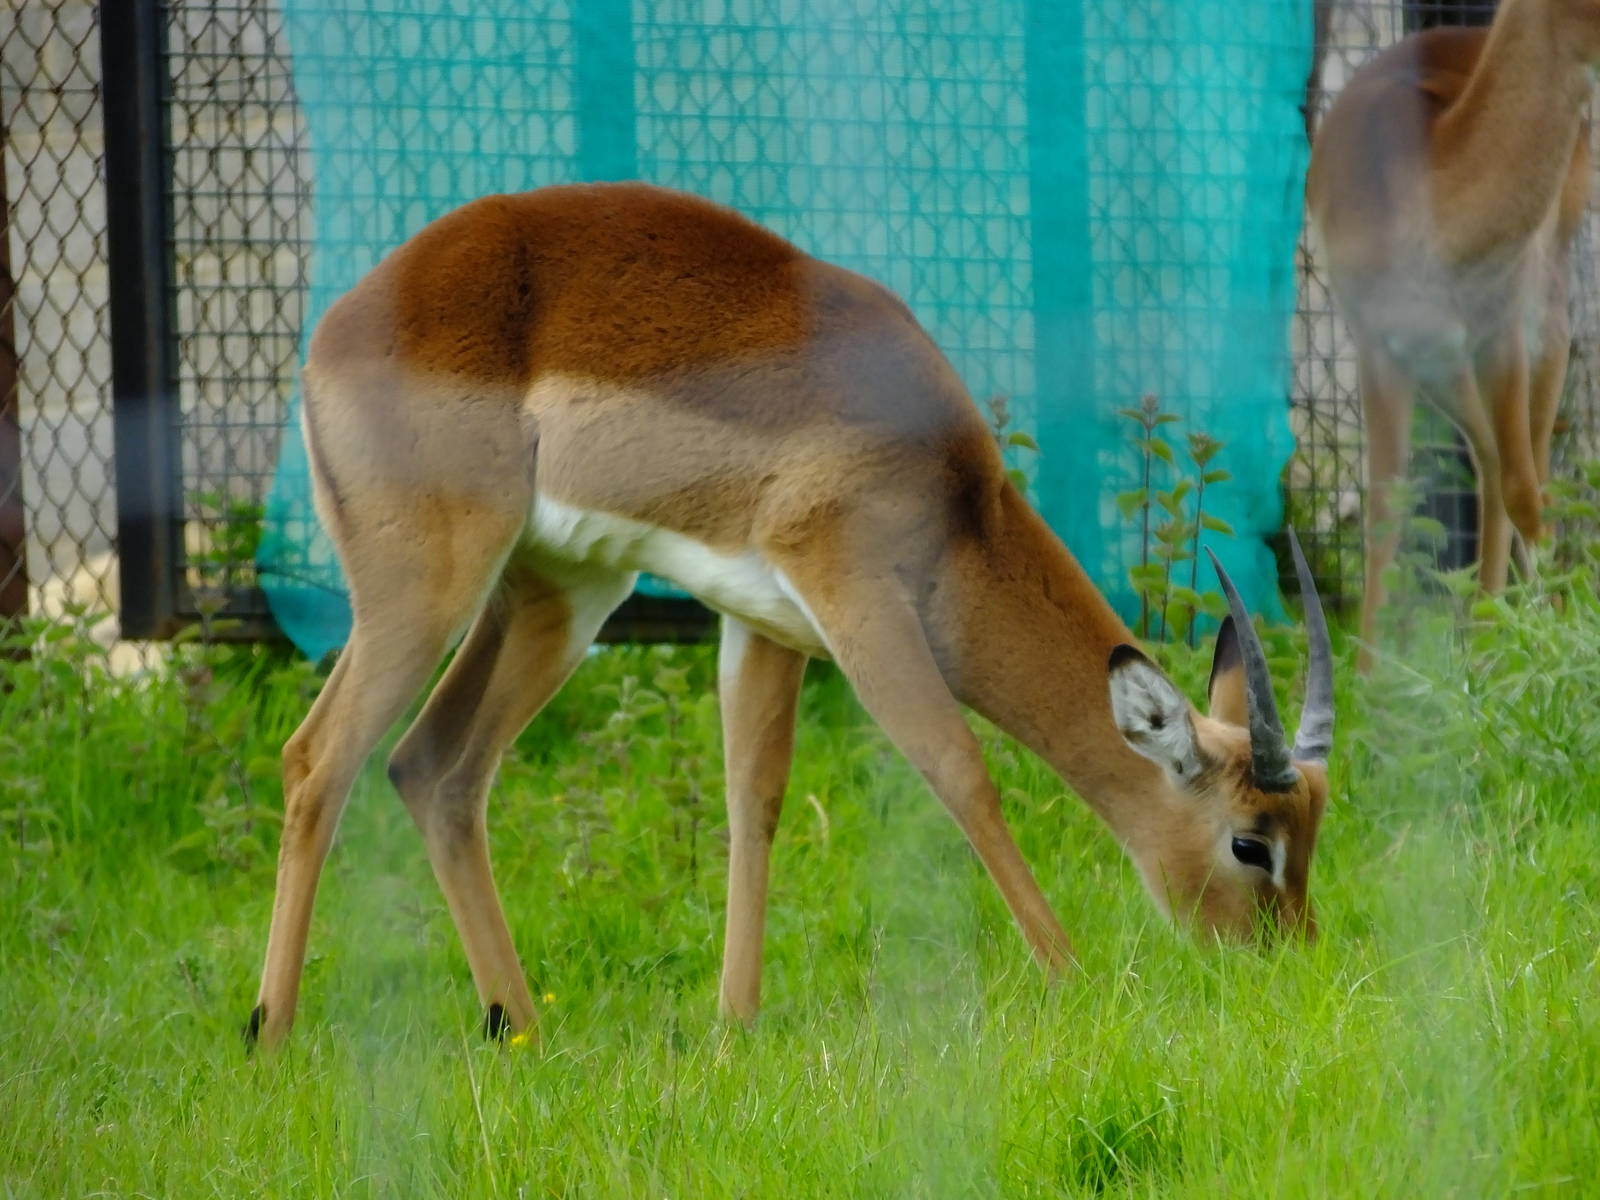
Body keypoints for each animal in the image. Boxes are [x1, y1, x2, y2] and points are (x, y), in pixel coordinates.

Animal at [247, 183, 1335, 1048]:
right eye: (1250, 841)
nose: (1286, 967)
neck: (955, 506)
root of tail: (333, 333)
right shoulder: (853, 595)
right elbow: (960, 771)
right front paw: (1071, 982)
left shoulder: (766, 626)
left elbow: (753, 803)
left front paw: (734, 1024)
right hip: (428, 585)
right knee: (316, 758)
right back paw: (272, 1034)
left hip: (559, 593)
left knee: (433, 767)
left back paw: (524, 1030)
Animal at [1307, 0, 1596, 671]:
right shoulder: (1377, 345)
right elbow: (1384, 507)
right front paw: (1367, 678)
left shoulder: (1503, 330)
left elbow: (1525, 489)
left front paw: (1564, 652)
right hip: (1442, 367)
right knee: (1488, 460)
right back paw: (1483, 637)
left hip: (1540, 319)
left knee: (1524, 474)